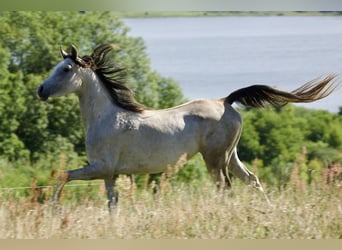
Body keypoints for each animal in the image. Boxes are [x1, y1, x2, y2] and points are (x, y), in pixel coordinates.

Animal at [36, 44, 336, 208]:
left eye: (65, 69)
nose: (40, 90)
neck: (107, 118)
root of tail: (226, 101)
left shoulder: (100, 168)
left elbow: (62, 175)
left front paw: (53, 209)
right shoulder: (111, 174)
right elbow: (113, 204)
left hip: (215, 160)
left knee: (225, 188)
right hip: (231, 156)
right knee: (252, 180)